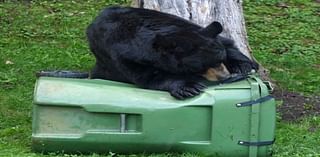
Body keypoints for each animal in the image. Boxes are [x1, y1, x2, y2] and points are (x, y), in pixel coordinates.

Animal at [87, 6, 258, 99]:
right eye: (202, 66)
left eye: (220, 59)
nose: (224, 77)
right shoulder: (124, 56)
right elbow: (149, 77)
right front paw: (188, 87)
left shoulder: (184, 24)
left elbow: (226, 42)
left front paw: (243, 65)